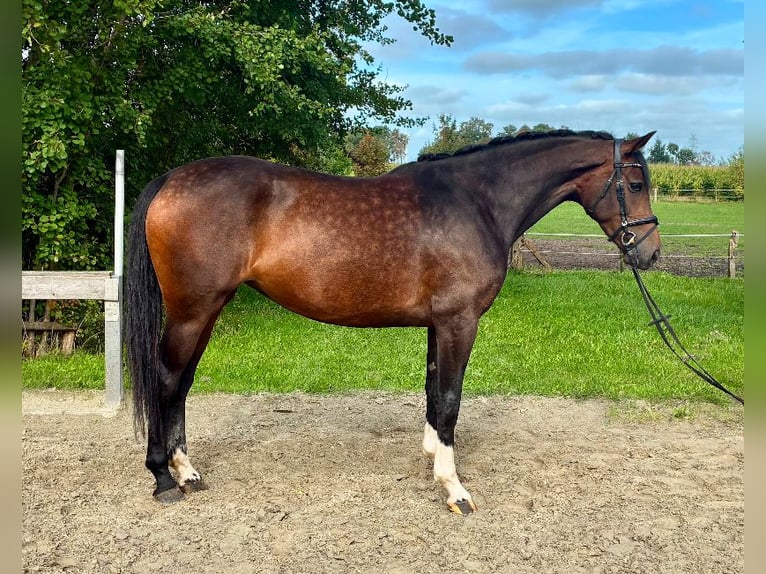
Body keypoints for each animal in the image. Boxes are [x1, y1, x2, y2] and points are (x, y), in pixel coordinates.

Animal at [126, 129, 661, 514]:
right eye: (635, 185)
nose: (651, 254)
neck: (478, 202)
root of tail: (171, 180)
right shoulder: (459, 321)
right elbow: (450, 399)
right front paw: (453, 486)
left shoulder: (438, 324)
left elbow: (433, 391)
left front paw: (431, 456)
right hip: (193, 310)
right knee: (166, 379)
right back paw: (163, 477)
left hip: (206, 311)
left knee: (182, 383)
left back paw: (186, 471)